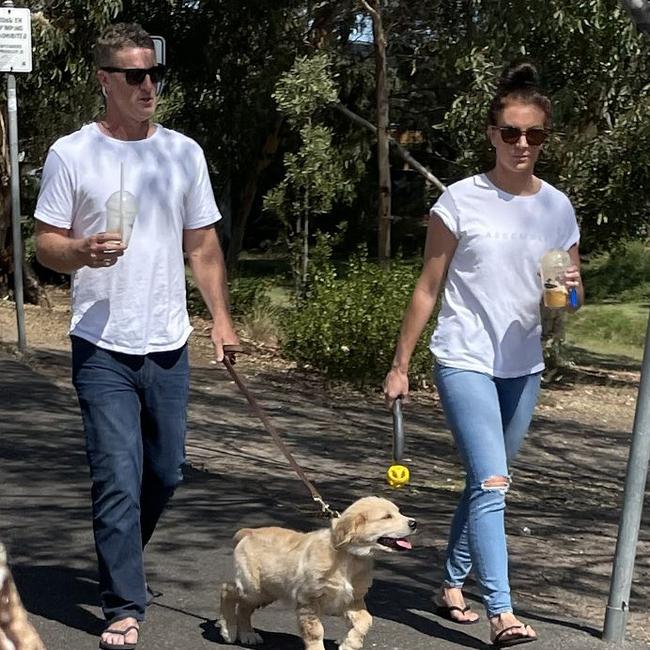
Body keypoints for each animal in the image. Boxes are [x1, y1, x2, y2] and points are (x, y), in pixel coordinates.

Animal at [218, 494, 416, 644]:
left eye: (398, 512)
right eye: (387, 517)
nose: (414, 523)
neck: (349, 558)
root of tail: (250, 531)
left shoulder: (351, 600)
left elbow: (365, 621)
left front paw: (349, 644)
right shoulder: (309, 601)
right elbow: (315, 633)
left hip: (267, 591)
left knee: (244, 607)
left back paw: (247, 635)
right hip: (253, 587)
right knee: (227, 590)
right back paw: (228, 629)